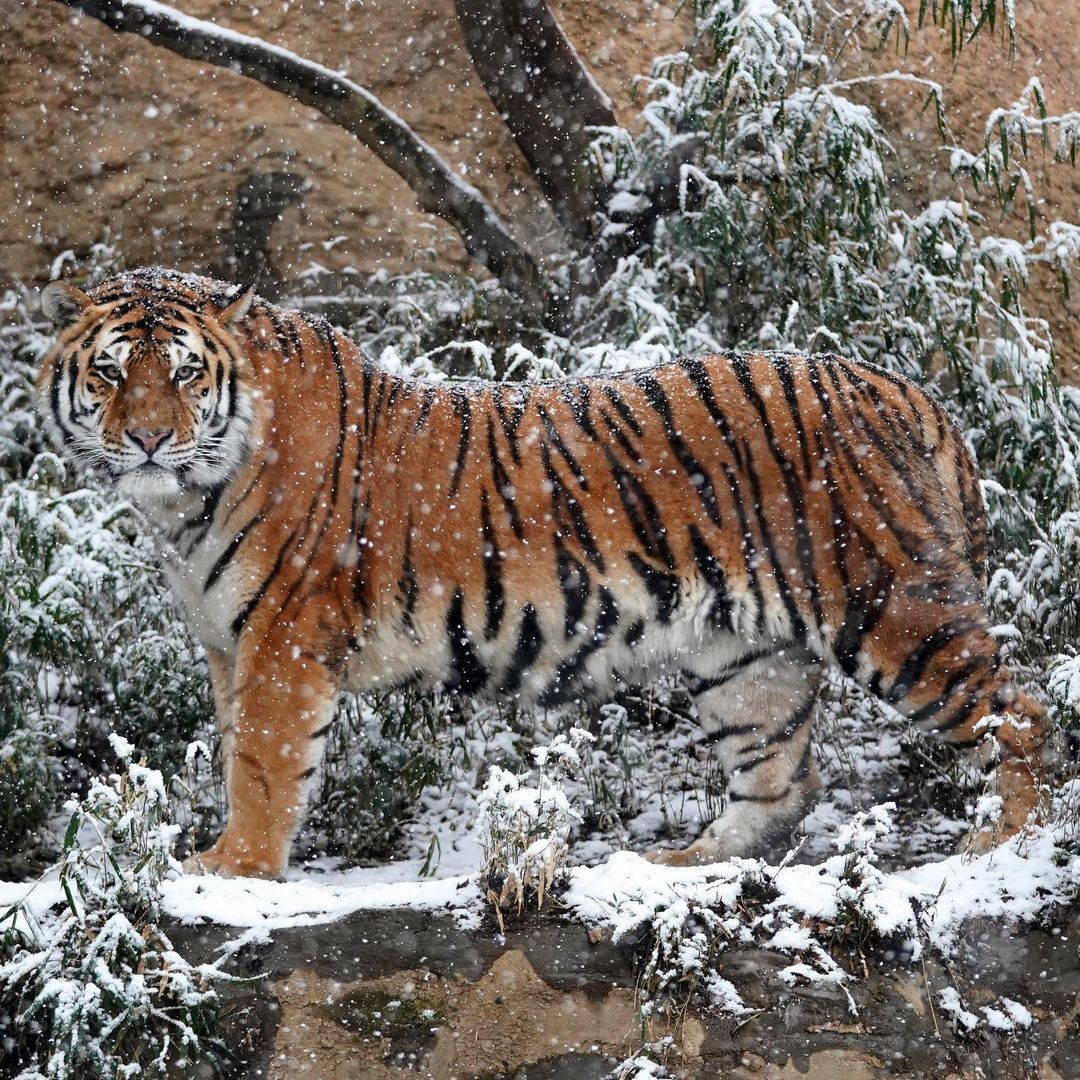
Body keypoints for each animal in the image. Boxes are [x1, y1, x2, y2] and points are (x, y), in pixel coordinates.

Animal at [38, 267, 1049, 876]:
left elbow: (261, 763)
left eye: (181, 374)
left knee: (1020, 713)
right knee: (782, 779)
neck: (182, 504)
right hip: (746, 655)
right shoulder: (227, 644)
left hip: (895, 609)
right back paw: (677, 867)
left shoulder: (283, 638)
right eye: (111, 373)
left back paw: (1001, 845)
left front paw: (232, 870)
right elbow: (235, 750)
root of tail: (909, 390)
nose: (148, 437)